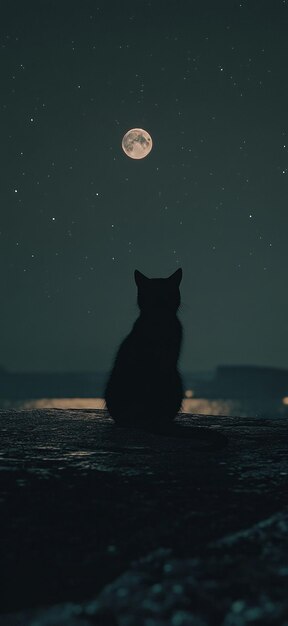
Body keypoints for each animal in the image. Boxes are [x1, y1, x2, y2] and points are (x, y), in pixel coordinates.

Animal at [104, 266, 183, 426]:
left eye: (168, 293)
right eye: (152, 293)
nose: (160, 301)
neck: (159, 325)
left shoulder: (168, 364)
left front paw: (159, 417)